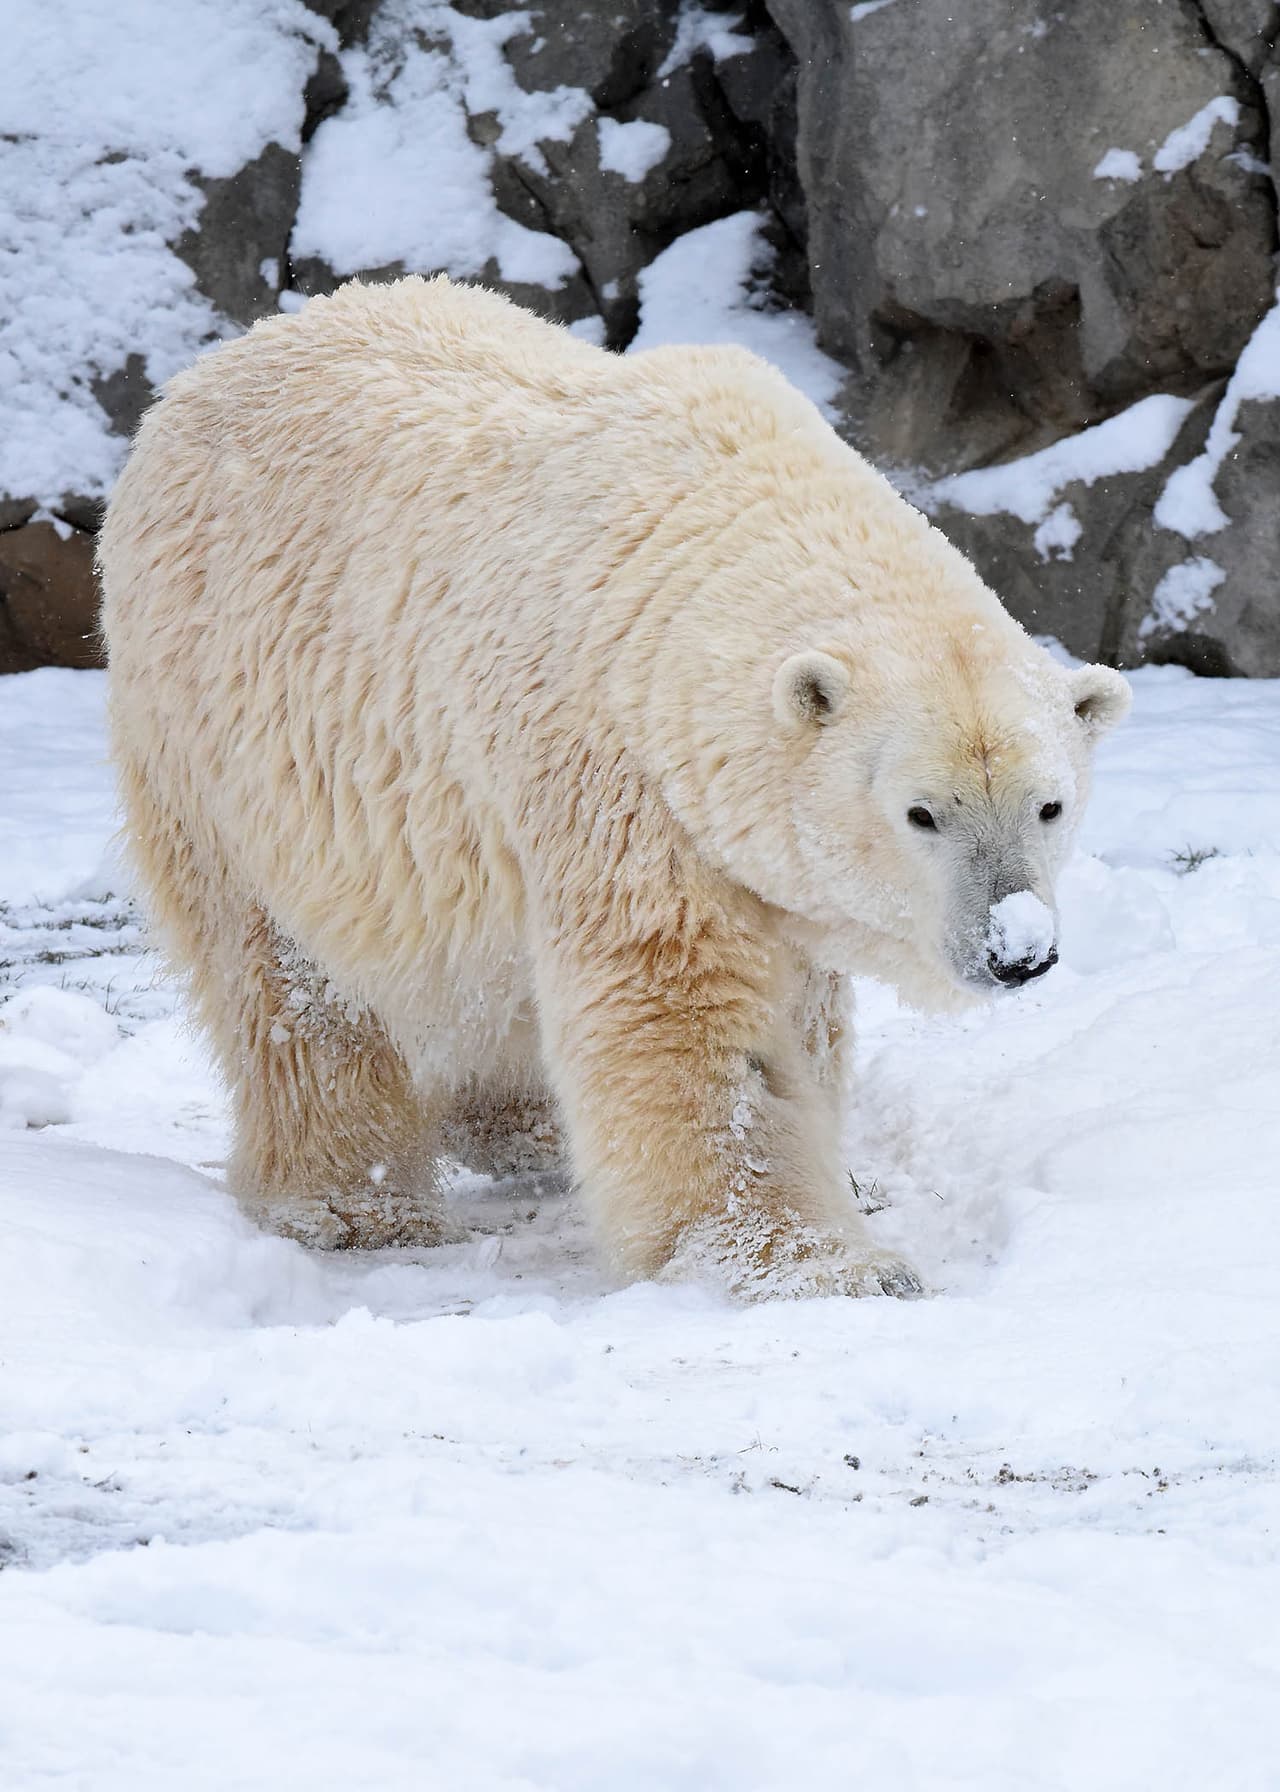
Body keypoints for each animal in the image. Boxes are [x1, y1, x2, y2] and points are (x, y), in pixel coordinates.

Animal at [98, 275, 1130, 1299]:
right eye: (921, 813)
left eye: (1049, 804)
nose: (1017, 951)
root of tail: (213, 366)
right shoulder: (619, 778)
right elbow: (683, 1011)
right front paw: (829, 1264)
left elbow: (802, 1010)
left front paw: (848, 1182)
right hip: (227, 747)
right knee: (293, 985)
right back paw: (356, 1204)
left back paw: (527, 1131)